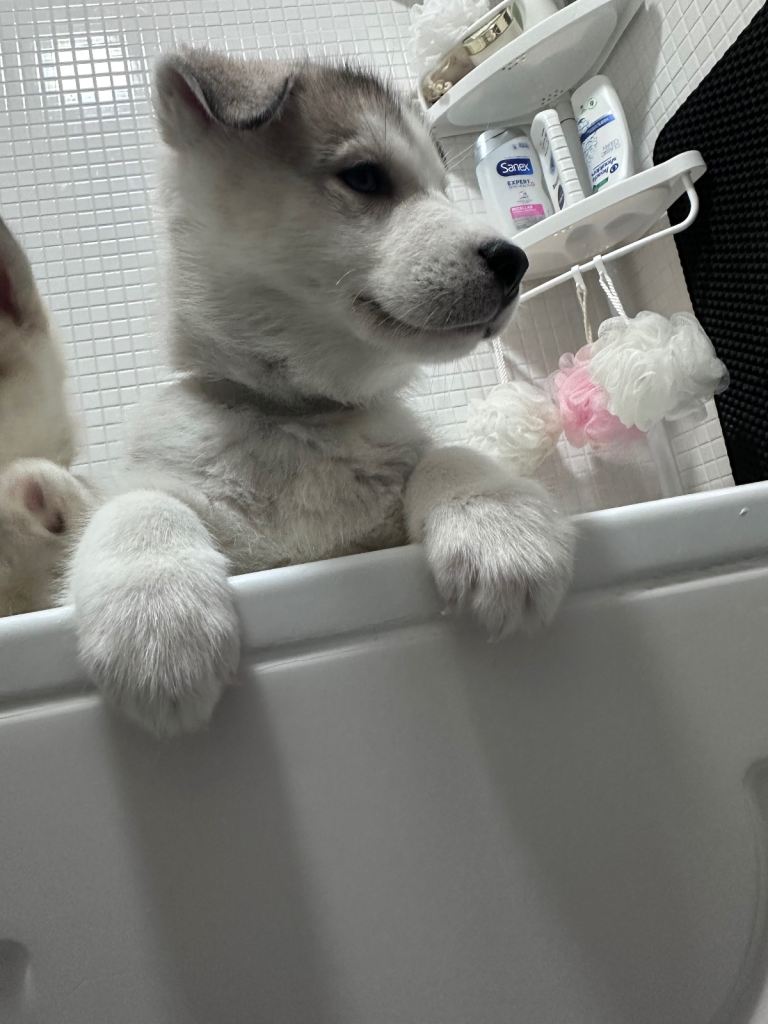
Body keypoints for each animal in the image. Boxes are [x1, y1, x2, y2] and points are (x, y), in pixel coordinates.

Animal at [70, 49, 574, 736]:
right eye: (364, 177)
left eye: (444, 190)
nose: (514, 261)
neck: (302, 416)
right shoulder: (162, 487)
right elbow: (140, 502)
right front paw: (154, 621)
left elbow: (447, 454)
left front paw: (499, 526)